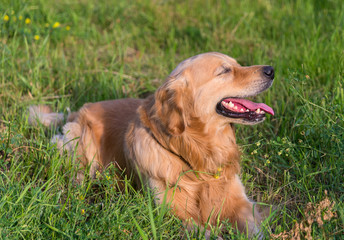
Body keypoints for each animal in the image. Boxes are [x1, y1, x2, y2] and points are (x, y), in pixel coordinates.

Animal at [30, 51, 276, 237]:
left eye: (238, 64)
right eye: (225, 71)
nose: (271, 70)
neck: (199, 157)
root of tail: (78, 110)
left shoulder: (241, 203)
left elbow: (255, 230)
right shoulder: (171, 211)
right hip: (81, 149)